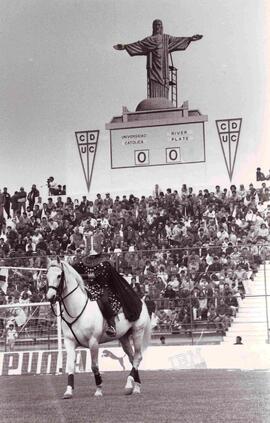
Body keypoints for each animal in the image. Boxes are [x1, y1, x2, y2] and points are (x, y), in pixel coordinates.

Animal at [46, 258, 152, 400]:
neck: (77, 309)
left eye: (59, 275)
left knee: (138, 357)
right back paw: (135, 386)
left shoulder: (93, 342)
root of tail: (141, 302)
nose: (50, 297)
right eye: (46, 276)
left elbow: (94, 366)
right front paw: (68, 391)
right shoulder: (69, 342)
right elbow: (70, 366)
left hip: (137, 333)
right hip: (123, 337)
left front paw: (99, 389)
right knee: (132, 358)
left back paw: (129, 384)